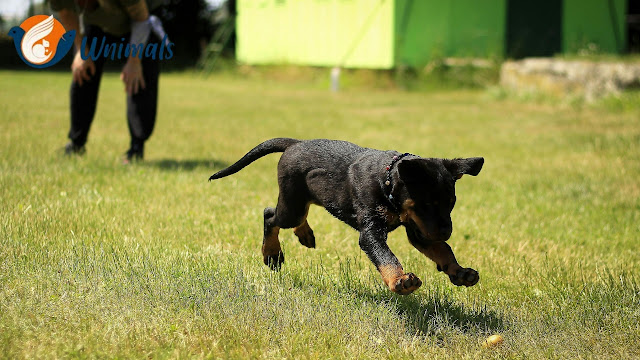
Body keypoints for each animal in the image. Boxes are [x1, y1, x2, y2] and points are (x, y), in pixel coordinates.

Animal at [210, 139, 484, 296]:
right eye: (427, 204)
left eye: (451, 204)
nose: (447, 231)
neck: (387, 182)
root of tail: (295, 143)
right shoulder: (372, 231)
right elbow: (386, 257)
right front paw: (399, 280)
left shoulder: (419, 230)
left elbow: (443, 250)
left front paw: (460, 272)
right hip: (292, 204)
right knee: (270, 215)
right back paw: (272, 254)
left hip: (306, 198)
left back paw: (304, 234)